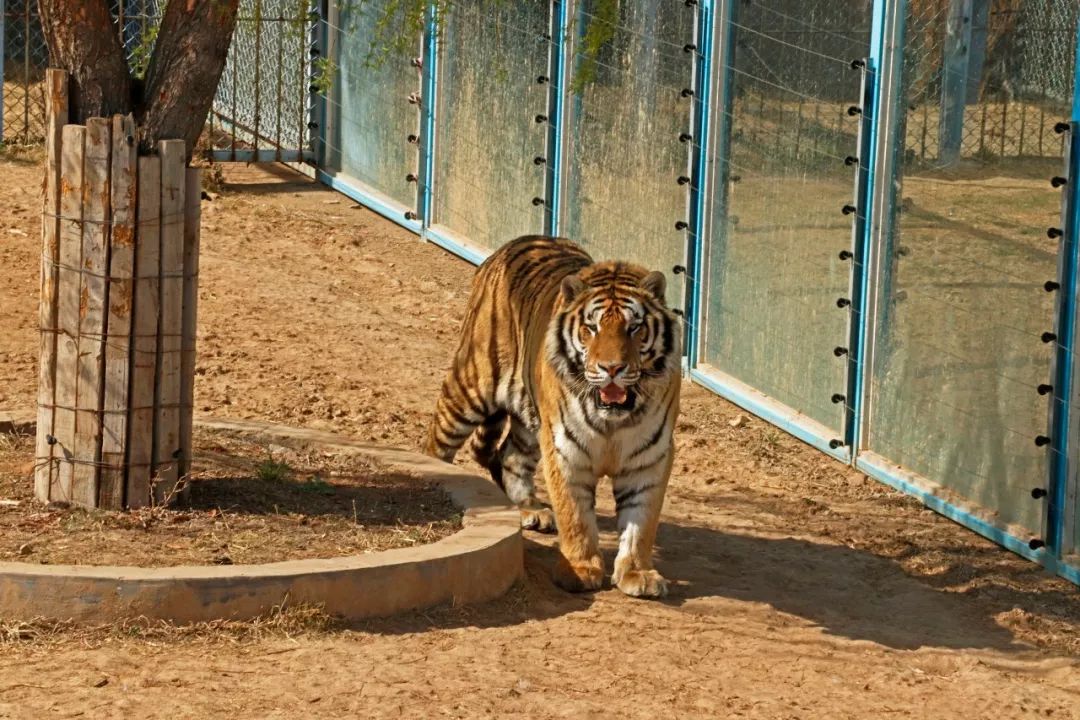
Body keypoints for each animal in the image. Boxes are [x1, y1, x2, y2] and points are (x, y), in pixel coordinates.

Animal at [425, 235, 678, 595]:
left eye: (634, 328)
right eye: (591, 328)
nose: (612, 368)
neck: (613, 420)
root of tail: (515, 243)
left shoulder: (649, 458)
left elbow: (641, 522)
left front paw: (637, 573)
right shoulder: (566, 450)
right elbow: (575, 516)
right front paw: (580, 569)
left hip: (530, 421)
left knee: (510, 457)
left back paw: (531, 509)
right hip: (472, 385)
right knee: (439, 441)